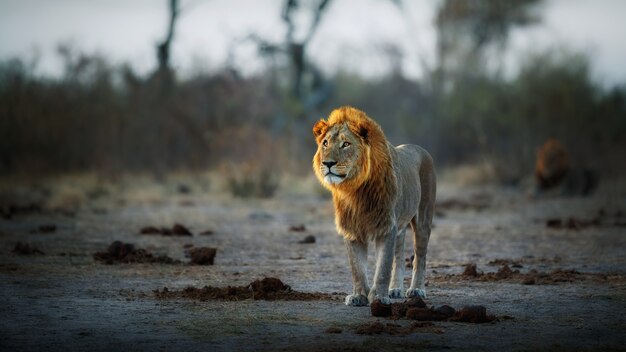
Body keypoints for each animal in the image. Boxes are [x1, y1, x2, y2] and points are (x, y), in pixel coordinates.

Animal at [310, 106, 434, 306]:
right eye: (325, 143)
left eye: (346, 144)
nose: (327, 163)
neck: (355, 191)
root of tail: (419, 148)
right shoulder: (351, 229)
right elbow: (357, 268)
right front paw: (359, 296)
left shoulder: (386, 226)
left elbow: (383, 267)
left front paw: (378, 297)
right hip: (400, 225)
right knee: (399, 256)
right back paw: (395, 290)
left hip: (423, 218)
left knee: (420, 256)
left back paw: (416, 290)